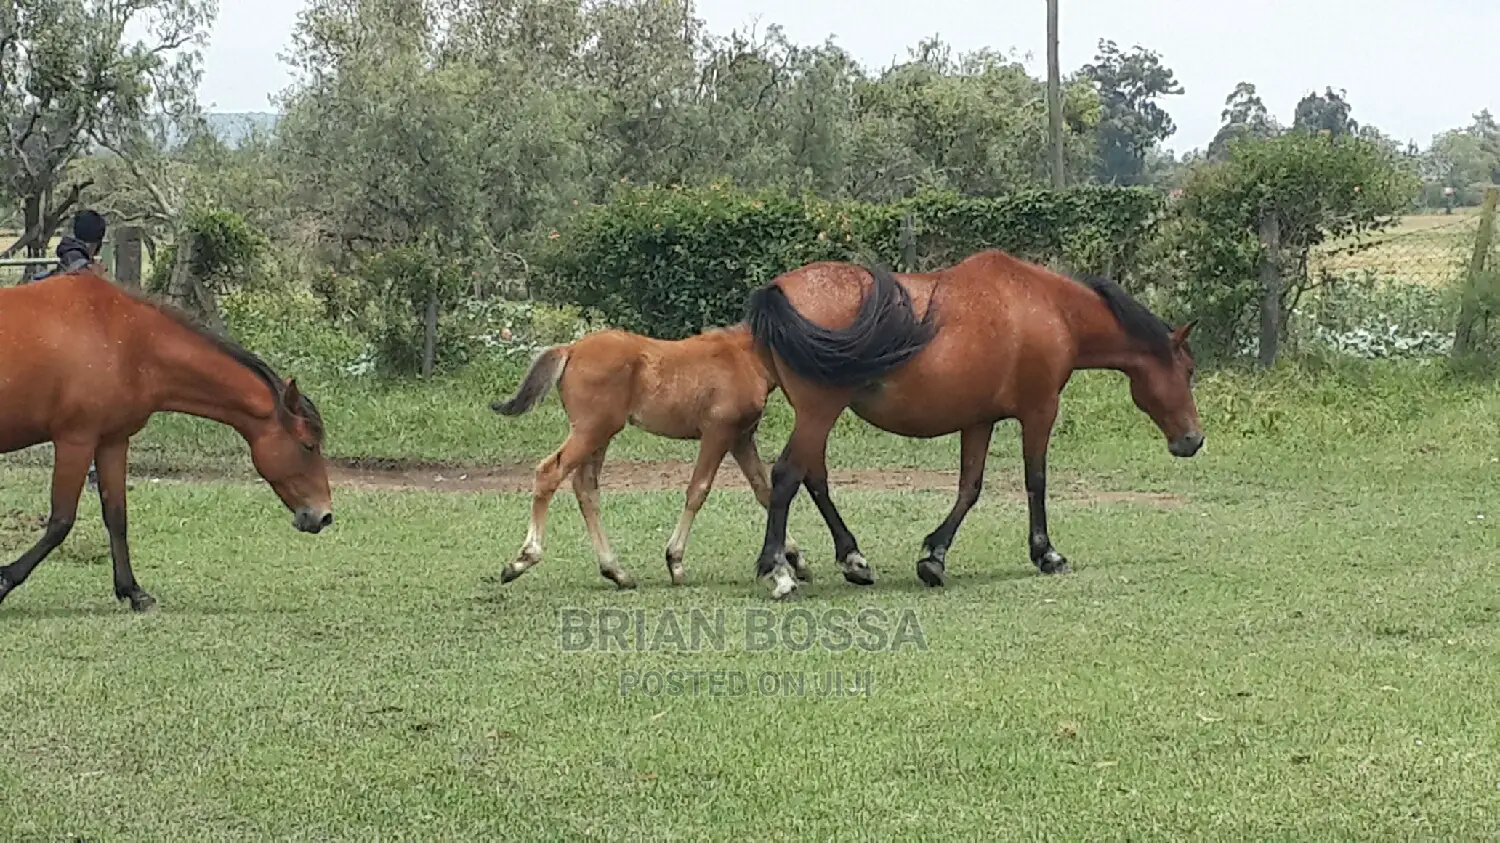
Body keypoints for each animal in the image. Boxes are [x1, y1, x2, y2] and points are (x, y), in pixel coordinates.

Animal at [0, 268, 334, 612]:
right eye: (308, 445)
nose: (323, 516)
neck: (125, 340)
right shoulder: (75, 441)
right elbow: (60, 521)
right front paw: (5, 580)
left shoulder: (112, 441)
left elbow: (116, 516)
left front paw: (133, 591)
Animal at [489, 324, 805, 589]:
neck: (744, 357)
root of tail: (571, 349)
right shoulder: (718, 433)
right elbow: (698, 490)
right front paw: (675, 562)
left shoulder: (741, 438)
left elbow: (765, 492)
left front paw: (795, 559)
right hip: (592, 429)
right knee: (549, 472)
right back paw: (522, 561)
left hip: (598, 435)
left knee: (585, 487)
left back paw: (617, 572)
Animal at [742, 248, 1203, 599]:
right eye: (1189, 370)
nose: (1193, 440)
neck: (1049, 307)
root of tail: (777, 291)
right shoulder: (1040, 411)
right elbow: (1036, 481)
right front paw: (1047, 554)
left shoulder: (979, 420)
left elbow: (970, 487)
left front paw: (934, 558)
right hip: (819, 412)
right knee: (788, 475)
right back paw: (779, 571)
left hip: (817, 416)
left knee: (814, 477)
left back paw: (853, 559)